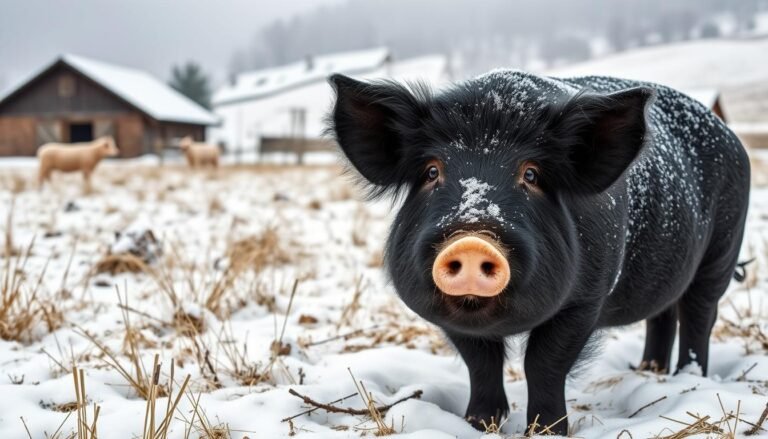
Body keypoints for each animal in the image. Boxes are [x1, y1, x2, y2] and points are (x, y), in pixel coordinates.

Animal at [326, 70, 752, 434]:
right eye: (432, 171)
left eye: (530, 174)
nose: (472, 238)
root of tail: (730, 136)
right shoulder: (452, 320)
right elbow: (482, 364)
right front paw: (478, 424)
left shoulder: (585, 300)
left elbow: (543, 363)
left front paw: (548, 430)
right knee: (662, 314)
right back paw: (649, 369)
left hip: (721, 254)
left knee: (699, 316)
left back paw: (688, 377)